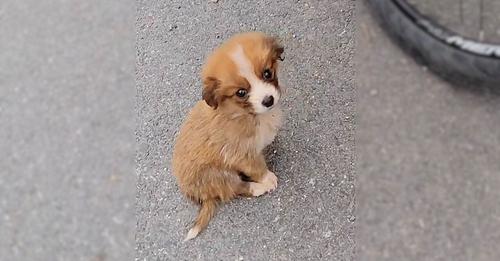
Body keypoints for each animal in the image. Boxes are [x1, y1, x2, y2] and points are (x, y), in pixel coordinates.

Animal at [172, 32, 284, 240]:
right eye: (241, 92)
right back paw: (260, 187)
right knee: (236, 188)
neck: (243, 113)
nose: (268, 100)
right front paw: (267, 178)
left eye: (267, 73)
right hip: (218, 175)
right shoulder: (239, 153)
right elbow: (256, 167)